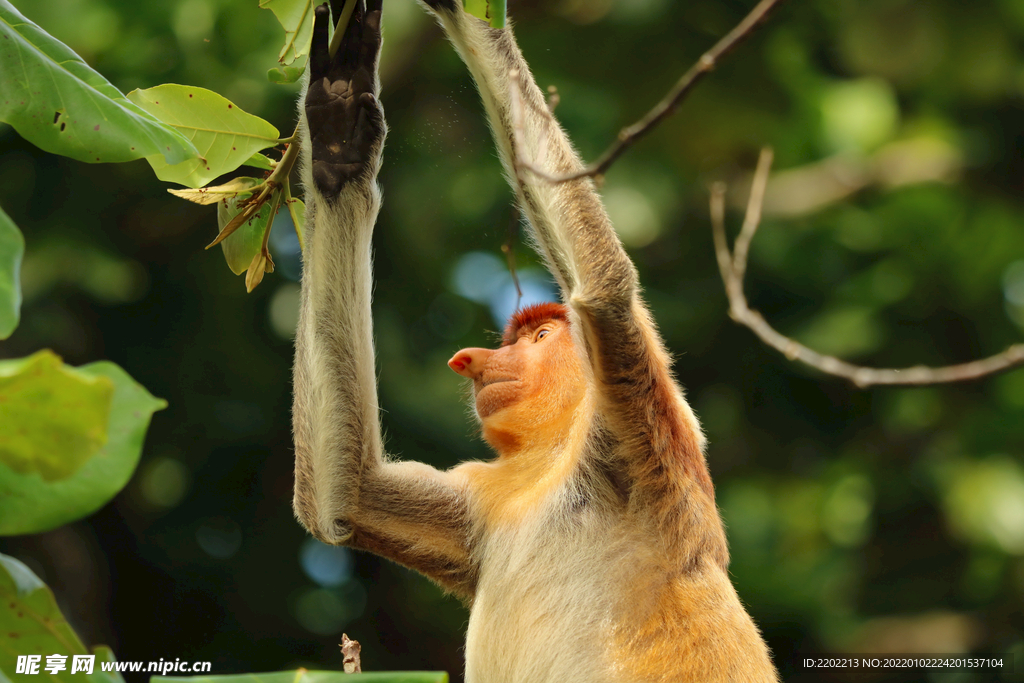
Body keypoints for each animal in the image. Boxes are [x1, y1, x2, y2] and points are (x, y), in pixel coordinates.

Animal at [292, 0, 778, 679]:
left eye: (541, 335)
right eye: (509, 339)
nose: (472, 361)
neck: (553, 455)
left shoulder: (646, 425)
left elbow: (604, 293)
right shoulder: (483, 495)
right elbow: (346, 496)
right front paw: (339, 136)